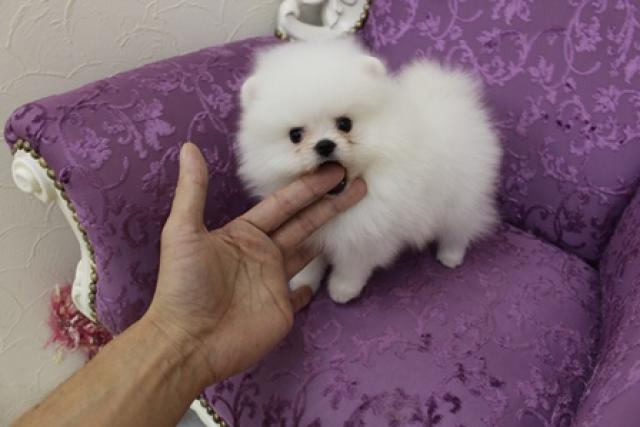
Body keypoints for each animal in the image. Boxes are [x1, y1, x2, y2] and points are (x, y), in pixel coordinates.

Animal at [236, 37, 502, 303]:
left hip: (461, 194)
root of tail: (451, 95)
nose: (324, 145)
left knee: (461, 226)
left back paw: (450, 255)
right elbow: (310, 264)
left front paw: (342, 290)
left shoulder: (367, 233)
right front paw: (302, 282)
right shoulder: (310, 236)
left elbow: (352, 265)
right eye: (295, 135)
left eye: (345, 123)